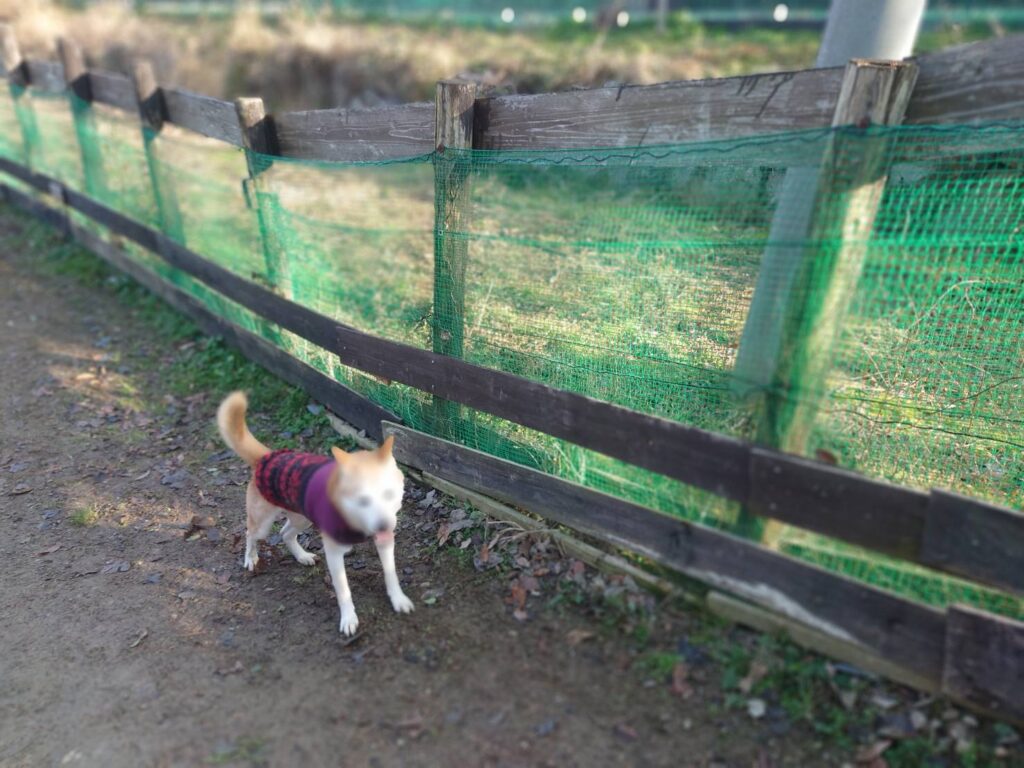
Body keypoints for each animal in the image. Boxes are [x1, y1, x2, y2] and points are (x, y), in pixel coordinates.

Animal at [216, 391, 413, 635]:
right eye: (363, 500)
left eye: (388, 494)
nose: (383, 525)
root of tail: (266, 456)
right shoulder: (334, 553)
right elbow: (343, 590)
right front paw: (348, 618)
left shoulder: (385, 542)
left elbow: (391, 573)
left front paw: (398, 599)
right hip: (263, 523)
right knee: (251, 534)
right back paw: (251, 558)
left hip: (302, 518)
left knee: (285, 533)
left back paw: (302, 556)